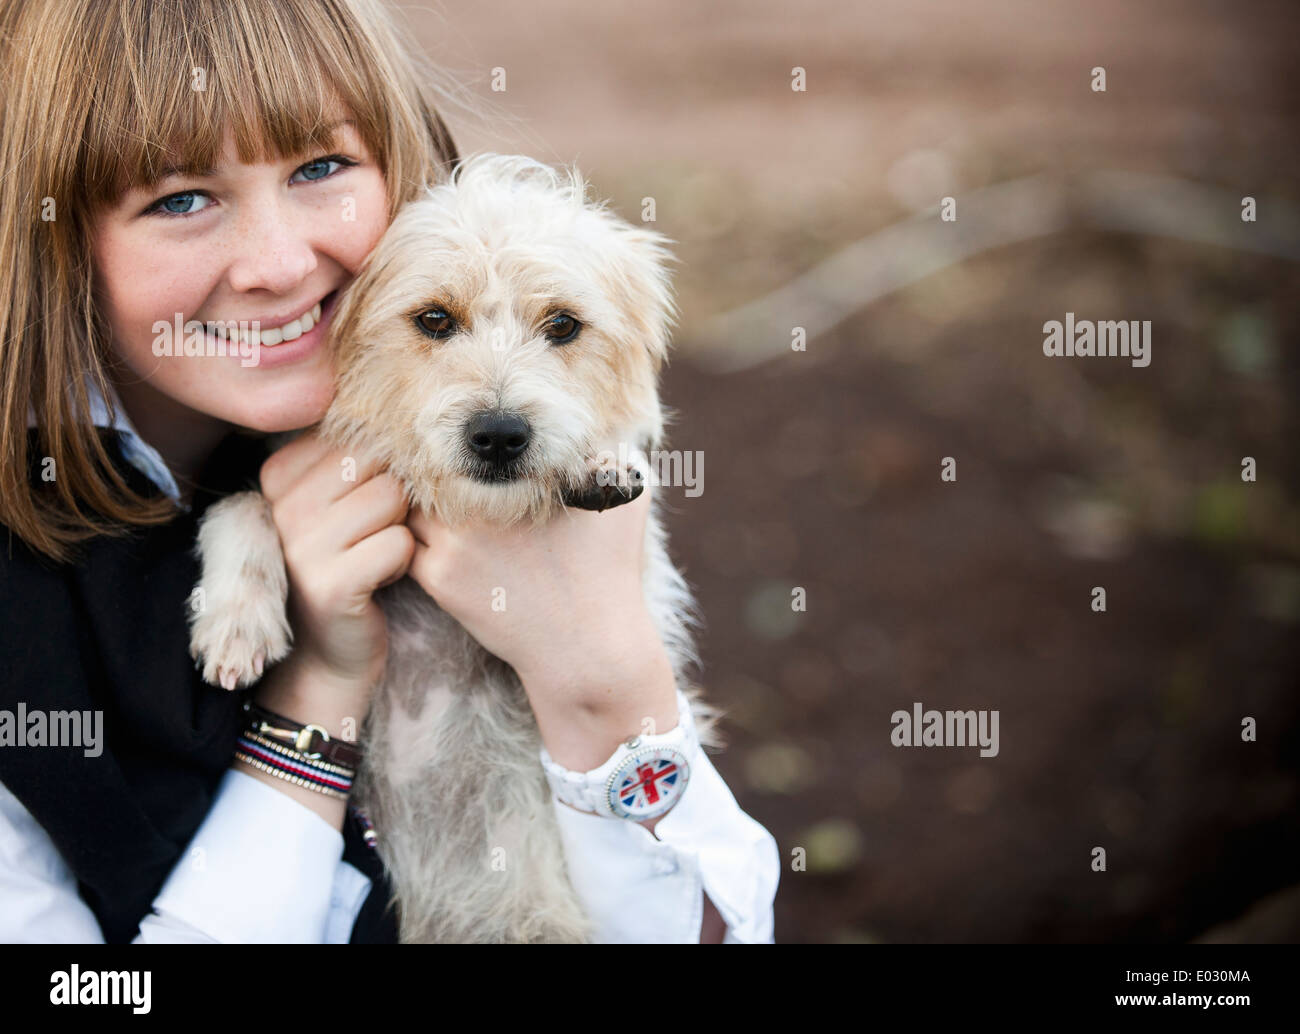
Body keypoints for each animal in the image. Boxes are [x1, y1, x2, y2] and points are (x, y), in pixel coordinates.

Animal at [188, 155, 722, 946]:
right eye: (434, 318)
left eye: (564, 325)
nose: (499, 435)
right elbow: (243, 501)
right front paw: (236, 617)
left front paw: (598, 458)